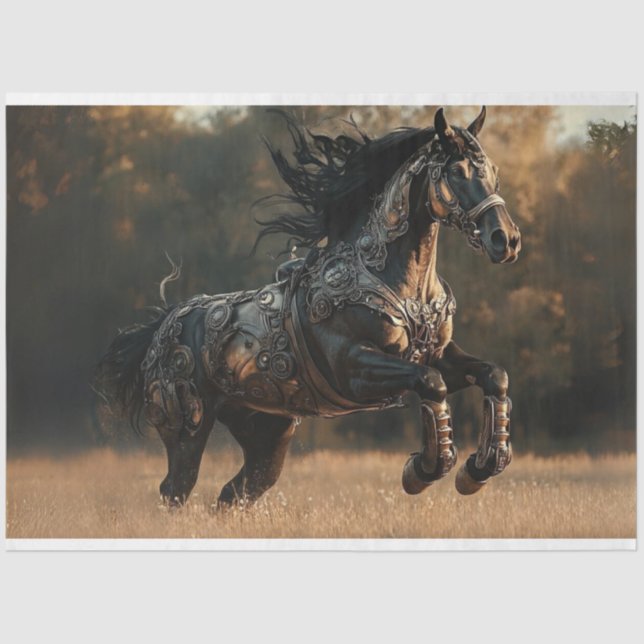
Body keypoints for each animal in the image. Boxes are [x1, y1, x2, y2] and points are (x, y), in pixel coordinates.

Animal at [95, 106, 521, 508]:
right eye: (457, 172)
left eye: (493, 171)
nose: (506, 240)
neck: (394, 281)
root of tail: (163, 326)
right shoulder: (356, 369)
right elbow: (431, 384)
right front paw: (421, 471)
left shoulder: (440, 355)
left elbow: (494, 375)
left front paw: (478, 469)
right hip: (188, 428)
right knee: (176, 490)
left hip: (267, 432)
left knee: (236, 493)